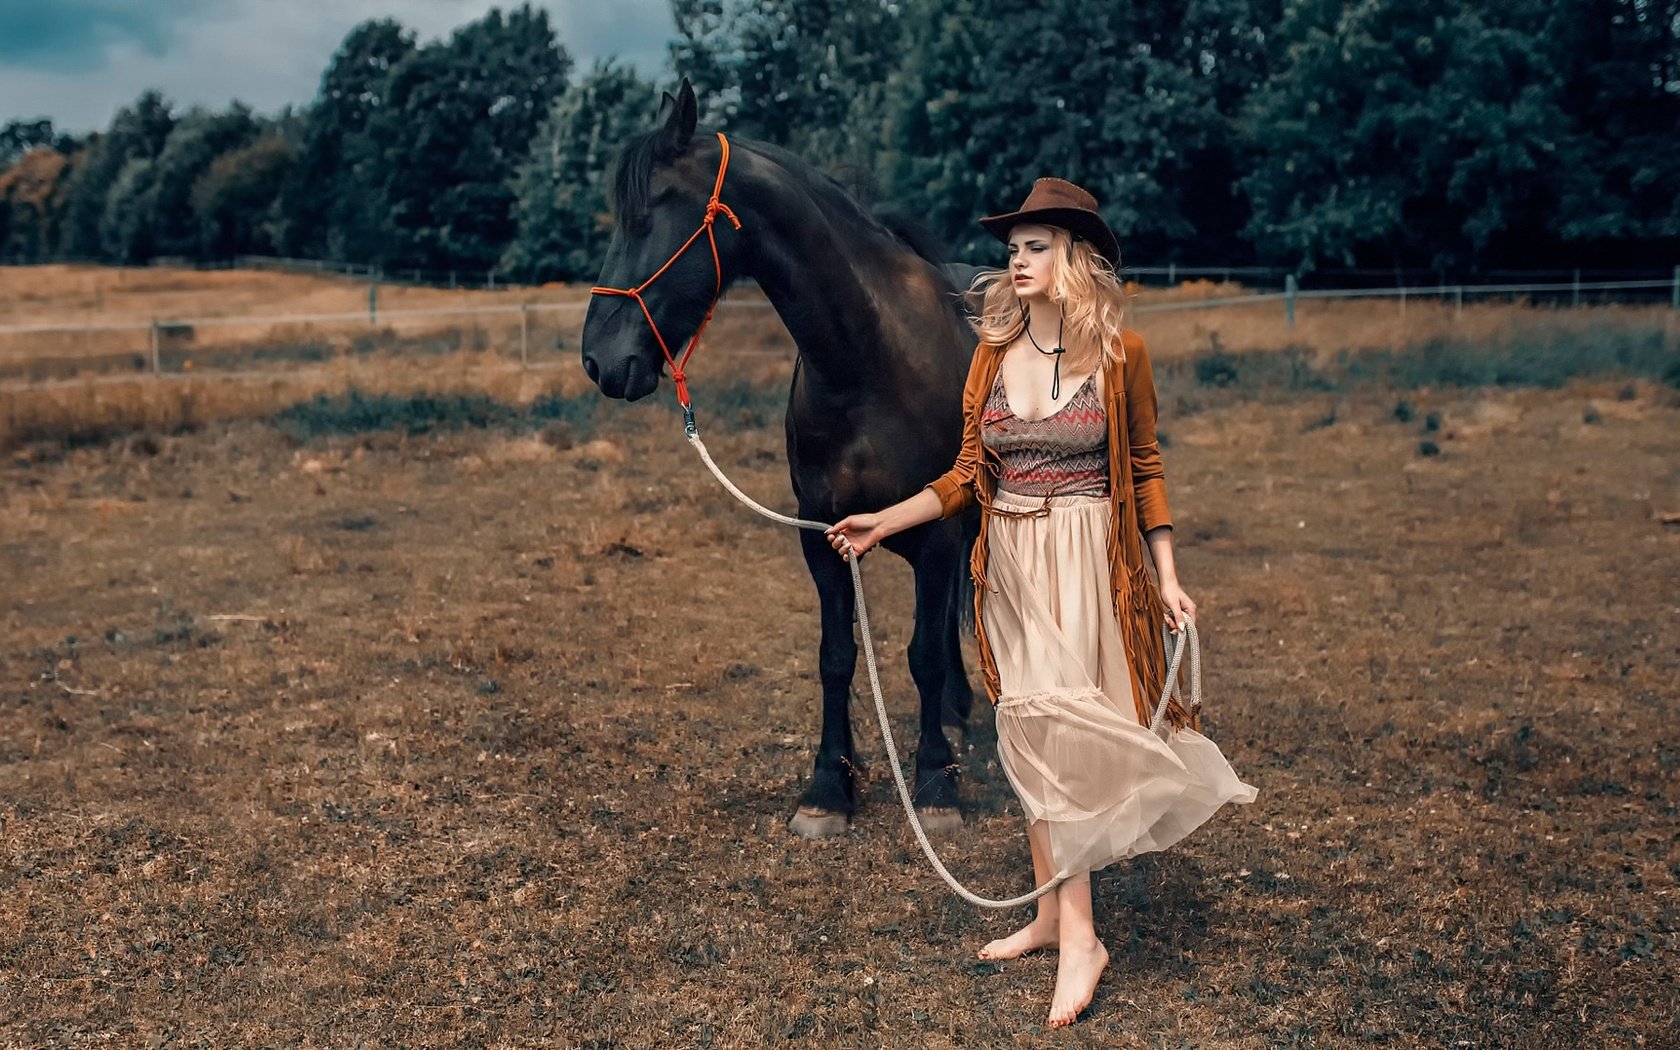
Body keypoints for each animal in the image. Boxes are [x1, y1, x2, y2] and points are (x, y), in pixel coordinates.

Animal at [588, 79, 981, 836]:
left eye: (648, 215)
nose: (597, 359)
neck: (868, 361)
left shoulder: (939, 533)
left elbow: (920, 653)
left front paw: (935, 785)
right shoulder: (823, 534)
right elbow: (836, 656)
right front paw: (829, 789)